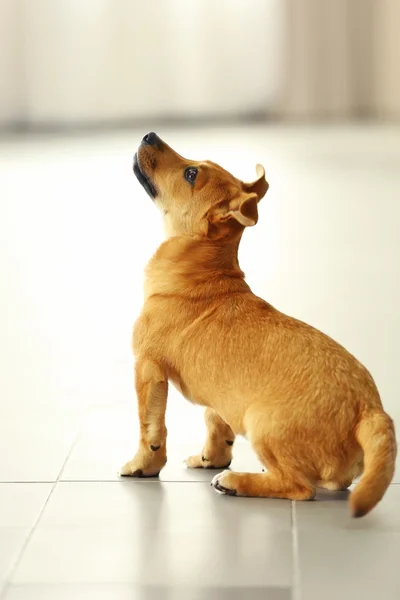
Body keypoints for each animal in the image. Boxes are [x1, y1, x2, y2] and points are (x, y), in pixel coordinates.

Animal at [122, 131, 396, 516]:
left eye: (191, 174)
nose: (149, 135)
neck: (204, 272)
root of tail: (370, 410)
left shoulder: (147, 369)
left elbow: (151, 429)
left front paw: (141, 466)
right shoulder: (221, 394)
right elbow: (215, 422)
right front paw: (210, 458)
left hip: (261, 425)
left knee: (299, 488)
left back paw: (237, 482)